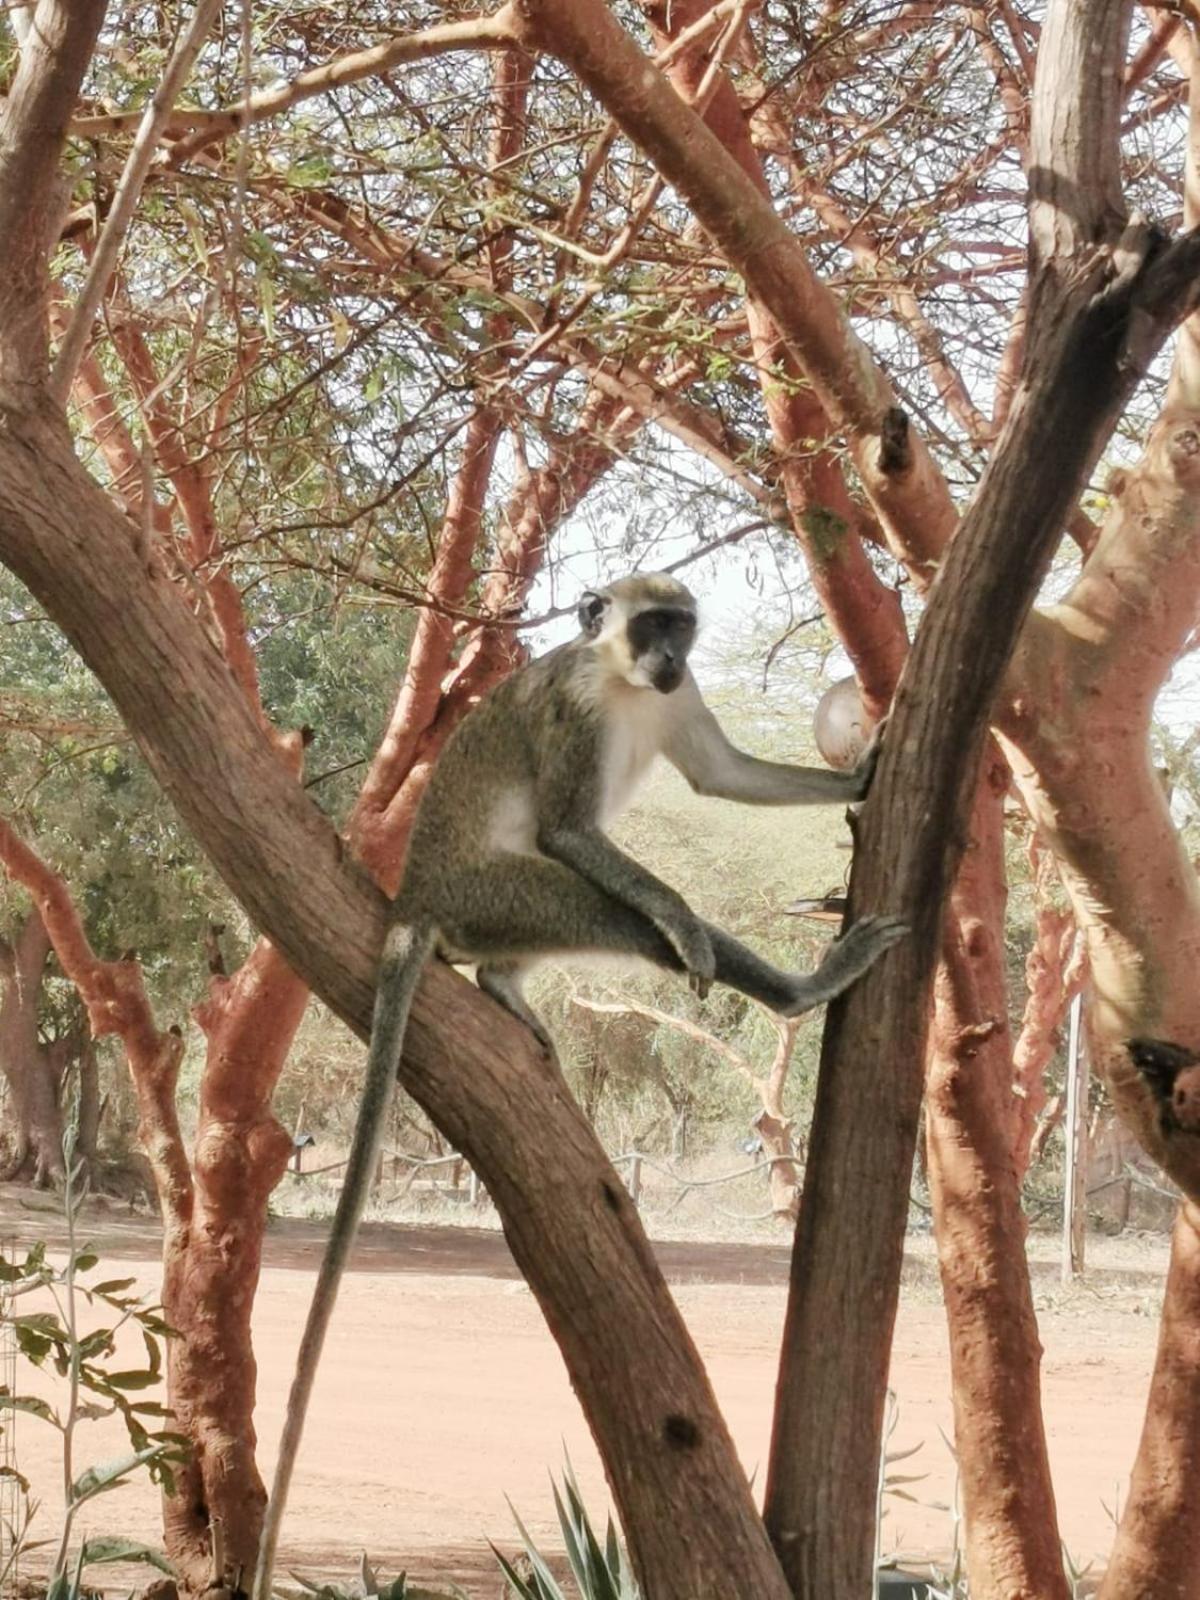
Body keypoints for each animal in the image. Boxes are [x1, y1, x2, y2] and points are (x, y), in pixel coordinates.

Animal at [256, 569, 908, 1593]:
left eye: (683, 628)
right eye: (650, 625)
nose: (669, 655)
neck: (625, 684)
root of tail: (413, 902)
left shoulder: (680, 700)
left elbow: (724, 776)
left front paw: (860, 774)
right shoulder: (574, 711)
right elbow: (575, 831)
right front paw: (686, 924)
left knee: (523, 943)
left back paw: (503, 986)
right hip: (501, 892)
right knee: (608, 906)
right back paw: (795, 987)